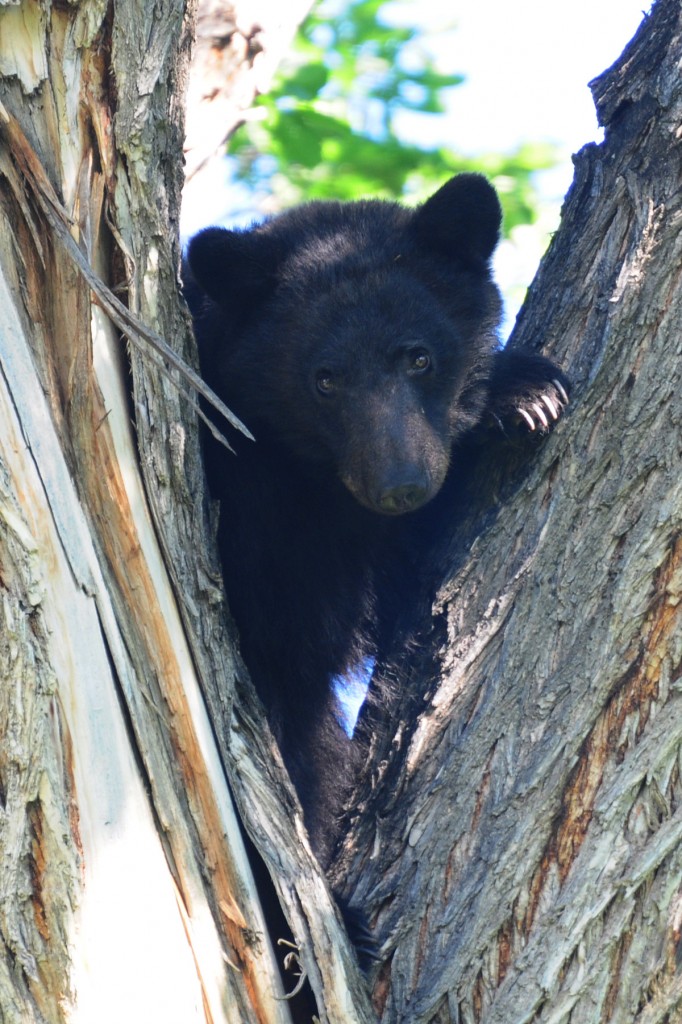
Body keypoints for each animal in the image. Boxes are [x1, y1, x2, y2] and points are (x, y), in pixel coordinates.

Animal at [183, 176, 565, 872]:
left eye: (419, 358)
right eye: (324, 379)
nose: (399, 485)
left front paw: (526, 391)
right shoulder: (253, 504)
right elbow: (302, 620)